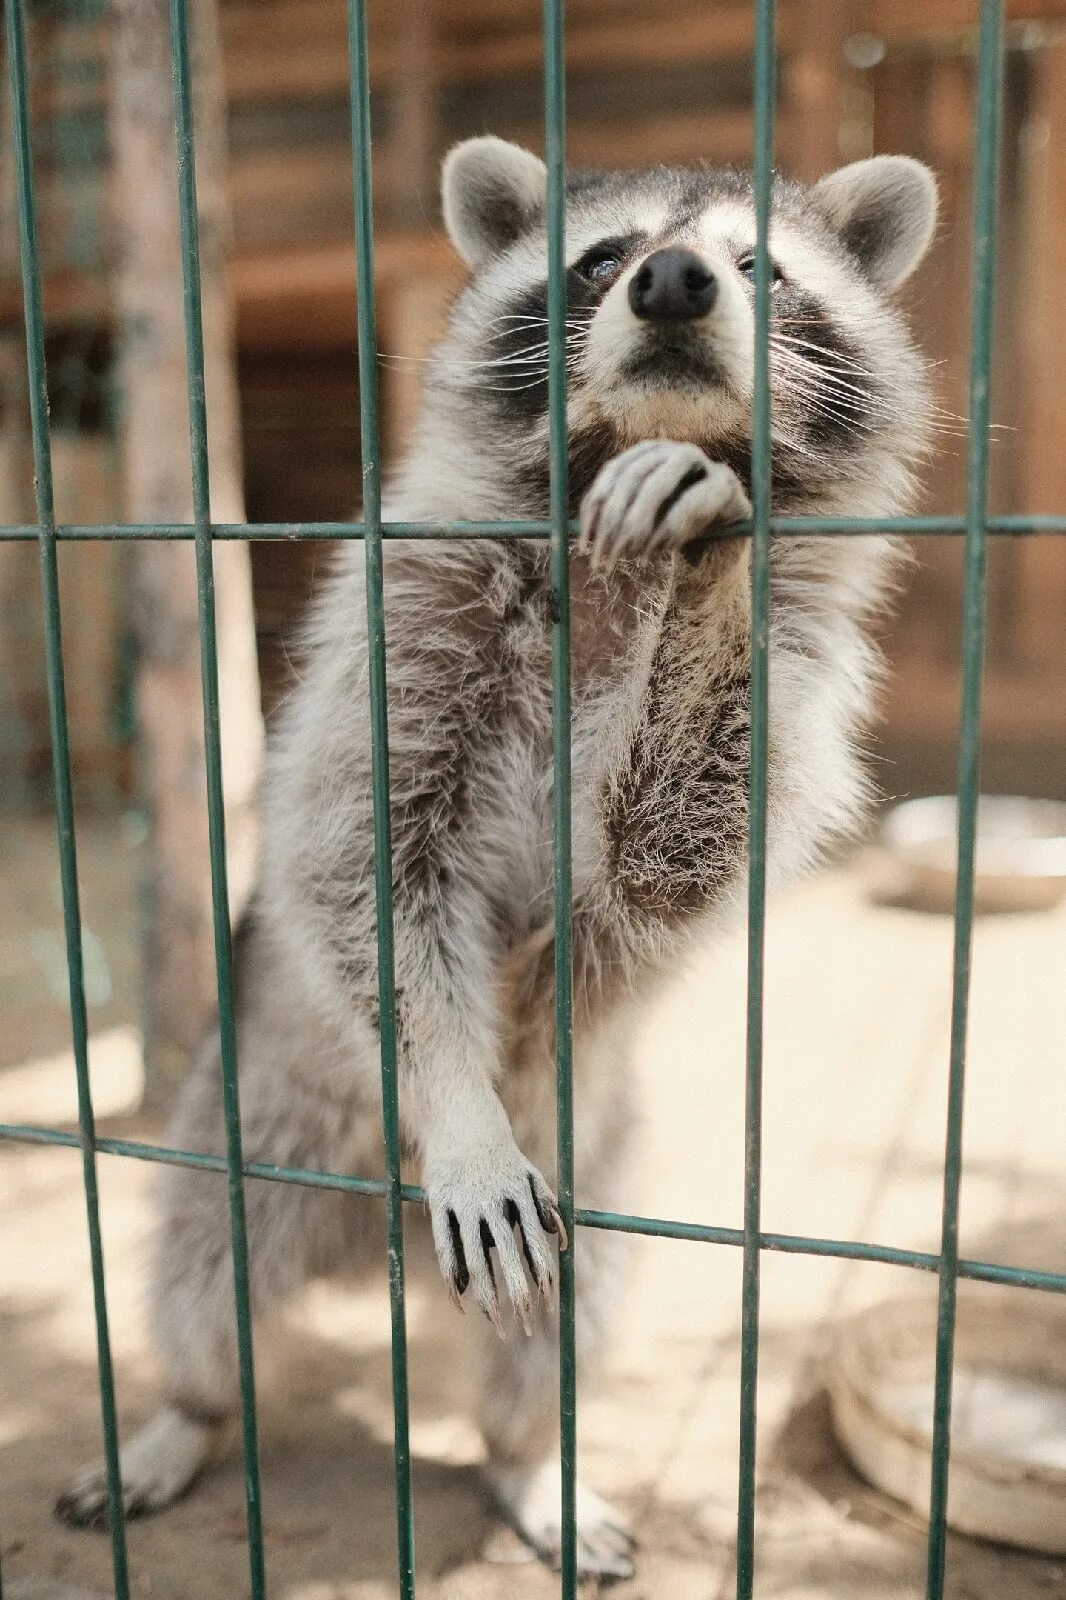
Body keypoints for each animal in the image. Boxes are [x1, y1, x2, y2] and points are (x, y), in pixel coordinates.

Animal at [58, 134, 934, 1574]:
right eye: (603, 258)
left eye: (760, 266)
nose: (675, 281)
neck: (611, 485)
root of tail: (380, 1249)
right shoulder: (407, 611)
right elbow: (361, 862)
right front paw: (459, 1101)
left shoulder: (802, 663)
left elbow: (668, 852)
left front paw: (714, 544)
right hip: (252, 1120)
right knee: (204, 1276)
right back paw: (190, 1410)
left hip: (600, 1173)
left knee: (557, 1341)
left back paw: (533, 1457)